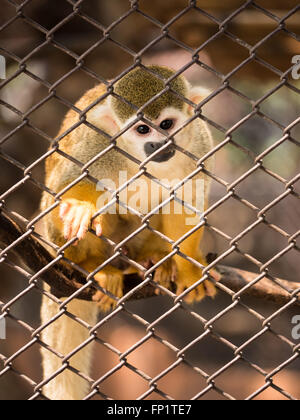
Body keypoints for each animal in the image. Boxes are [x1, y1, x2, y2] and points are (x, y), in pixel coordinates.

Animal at [39, 66, 217, 400]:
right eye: (142, 130)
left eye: (166, 125)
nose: (157, 145)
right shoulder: (97, 143)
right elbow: (63, 188)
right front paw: (79, 208)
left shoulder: (198, 141)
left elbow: (186, 201)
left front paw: (188, 267)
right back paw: (95, 267)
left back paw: (156, 259)